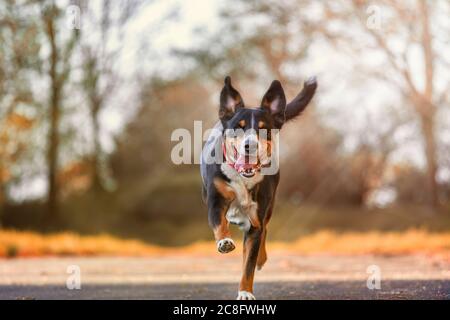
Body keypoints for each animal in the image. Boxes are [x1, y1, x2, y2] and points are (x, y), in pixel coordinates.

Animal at [200, 75, 316, 300]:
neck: (242, 178)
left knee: (265, 229)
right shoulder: (215, 201)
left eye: (264, 129)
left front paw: (245, 292)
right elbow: (220, 224)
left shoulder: (256, 219)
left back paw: (262, 257)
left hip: (268, 207)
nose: (250, 145)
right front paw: (224, 242)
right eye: (238, 127)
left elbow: (249, 265)